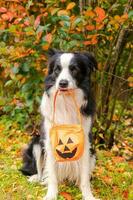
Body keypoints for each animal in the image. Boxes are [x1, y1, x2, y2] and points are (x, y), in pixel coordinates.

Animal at [20, 48, 98, 200]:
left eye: (74, 69)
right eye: (57, 69)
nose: (62, 83)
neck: (66, 101)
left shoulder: (85, 141)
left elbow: (85, 176)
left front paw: (88, 195)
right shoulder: (49, 141)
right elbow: (52, 175)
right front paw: (51, 195)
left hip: (93, 154)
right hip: (36, 143)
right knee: (40, 171)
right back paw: (35, 178)